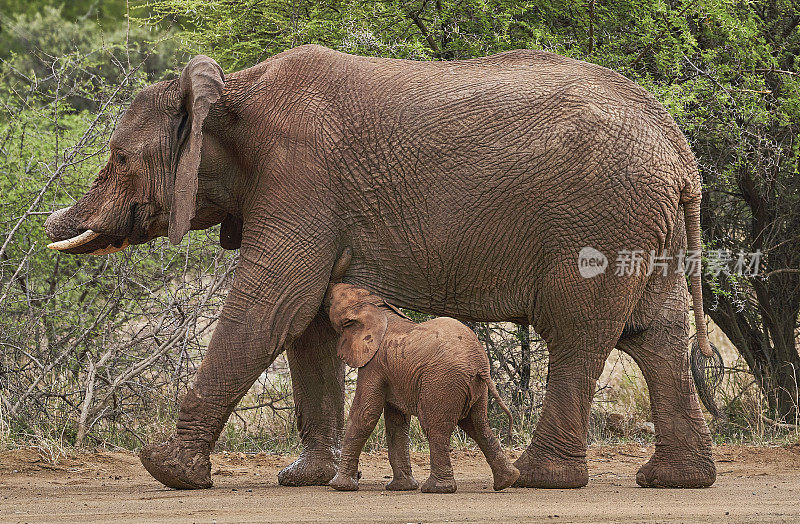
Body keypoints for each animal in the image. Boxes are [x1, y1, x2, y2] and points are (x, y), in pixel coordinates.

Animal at [326, 282, 520, 492]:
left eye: (331, 300)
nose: (329, 288)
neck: (376, 306)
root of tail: (480, 364)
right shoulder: (394, 370)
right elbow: (397, 422)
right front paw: (401, 487)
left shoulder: (374, 364)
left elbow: (364, 415)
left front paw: (338, 486)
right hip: (476, 388)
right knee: (478, 424)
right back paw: (507, 481)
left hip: (442, 381)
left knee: (435, 428)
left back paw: (436, 488)